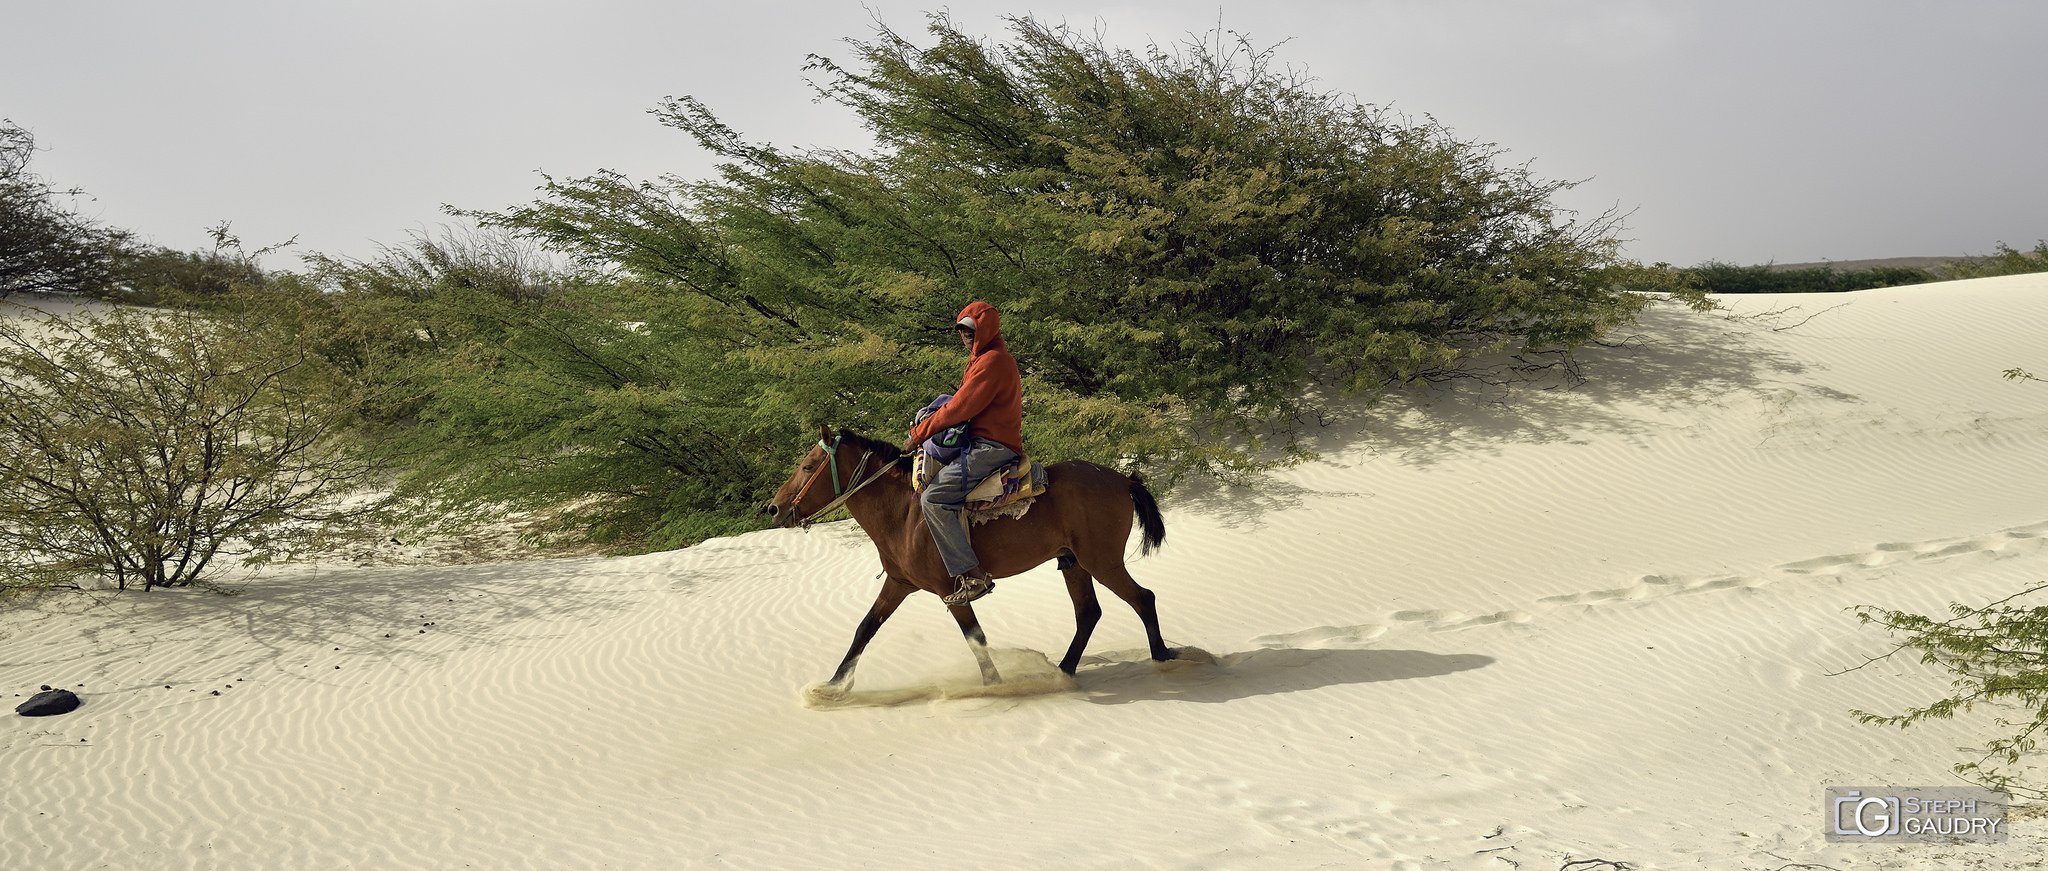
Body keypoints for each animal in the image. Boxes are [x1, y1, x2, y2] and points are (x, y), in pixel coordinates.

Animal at [770, 422, 1179, 692]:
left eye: (807, 466)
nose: (774, 508)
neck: (904, 513)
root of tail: (1122, 479)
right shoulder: (899, 584)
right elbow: (865, 629)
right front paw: (833, 687)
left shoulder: (951, 589)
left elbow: (974, 637)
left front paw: (993, 685)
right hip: (1073, 563)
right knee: (1089, 613)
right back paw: (1062, 672)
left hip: (1102, 561)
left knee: (1143, 598)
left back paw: (1161, 659)